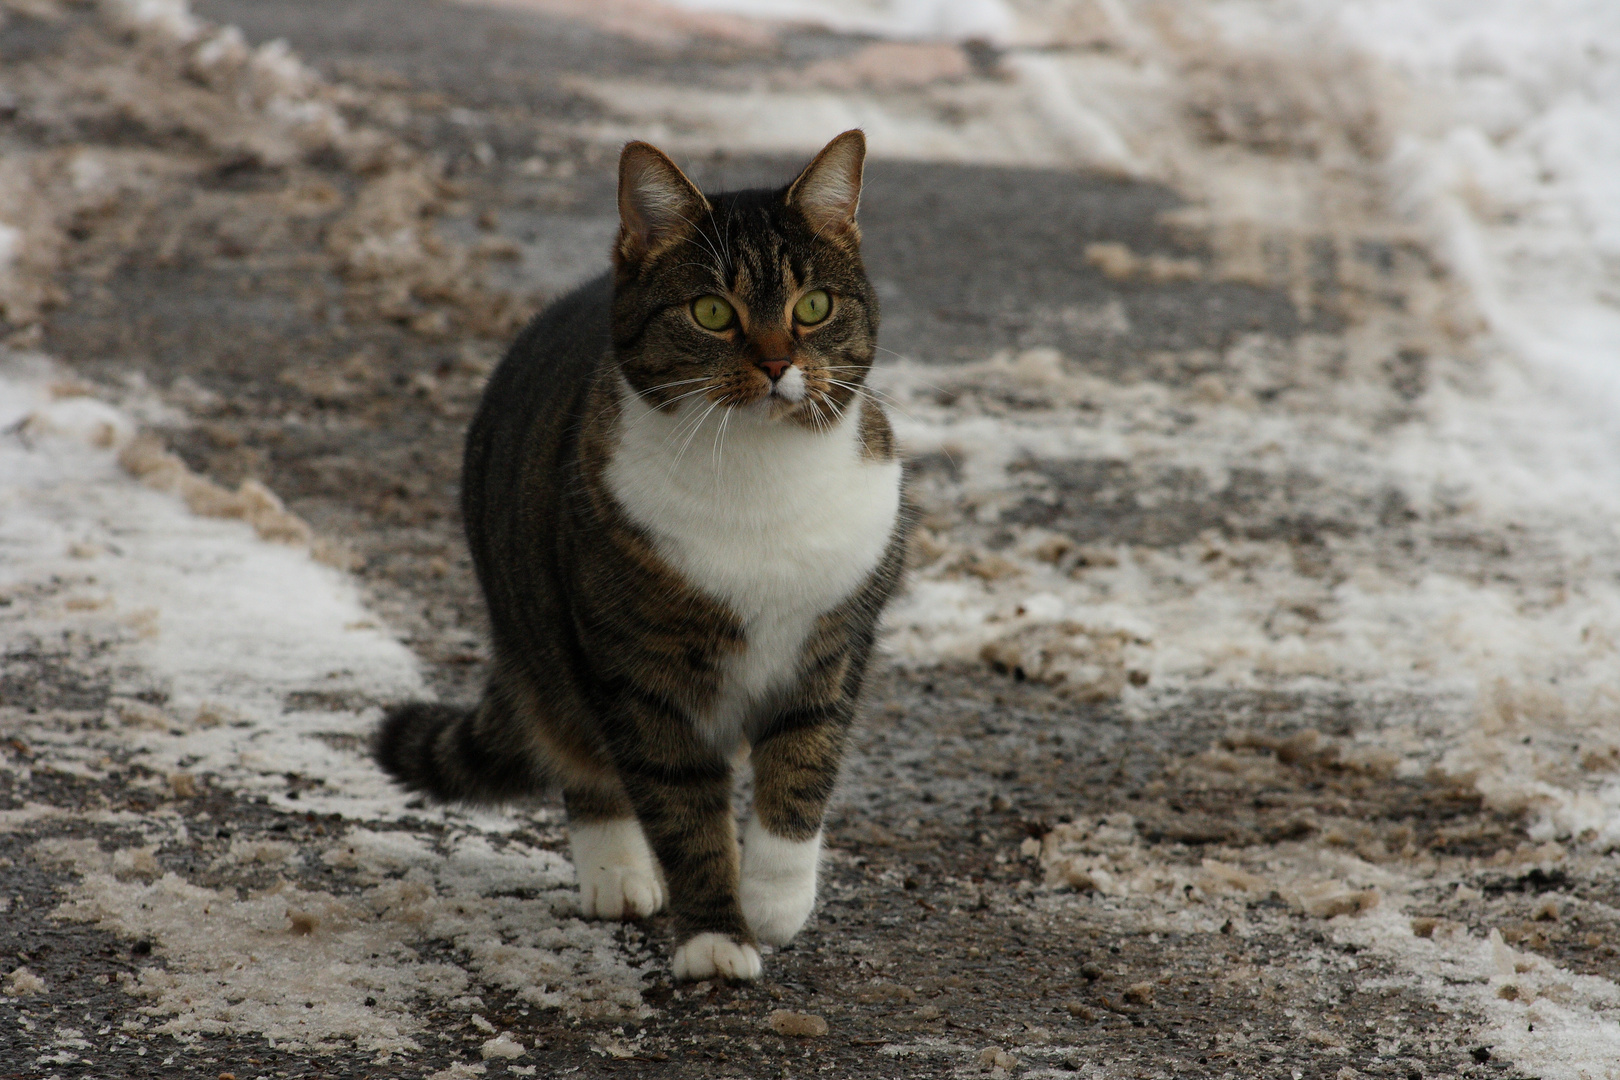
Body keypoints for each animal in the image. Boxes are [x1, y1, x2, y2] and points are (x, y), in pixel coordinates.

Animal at [375, 131, 913, 984]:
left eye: (814, 308)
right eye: (712, 312)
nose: (776, 366)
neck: (761, 477)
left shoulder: (834, 643)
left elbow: (802, 771)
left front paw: (773, 900)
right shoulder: (637, 670)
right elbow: (680, 804)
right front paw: (716, 937)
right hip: (543, 636)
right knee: (582, 756)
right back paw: (618, 873)